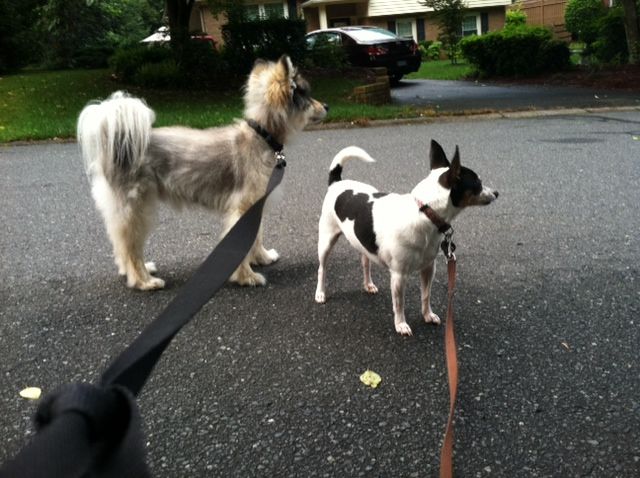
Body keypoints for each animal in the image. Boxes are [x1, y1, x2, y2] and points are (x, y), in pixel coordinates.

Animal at [79, 55, 328, 288]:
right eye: (306, 95)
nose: (327, 106)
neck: (262, 136)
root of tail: (116, 143)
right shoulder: (242, 208)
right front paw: (246, 277)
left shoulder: (255, 207)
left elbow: (256, 237)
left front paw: (262, 258)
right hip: (137, 209)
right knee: (131, 249)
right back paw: (144, 281)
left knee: (121, 244)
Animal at [316, 141, 500, 336]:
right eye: (478, 183)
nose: (497, 193)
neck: (424, 212)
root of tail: (337, 183)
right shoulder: (399, 276)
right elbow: (399, 304)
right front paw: (401, 324)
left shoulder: (428, 268)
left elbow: (426, 295)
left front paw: (428, 315)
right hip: (326, 241)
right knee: (322, 269)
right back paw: (320, 293)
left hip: (364, 243)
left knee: (365, 263)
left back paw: (368, 284)